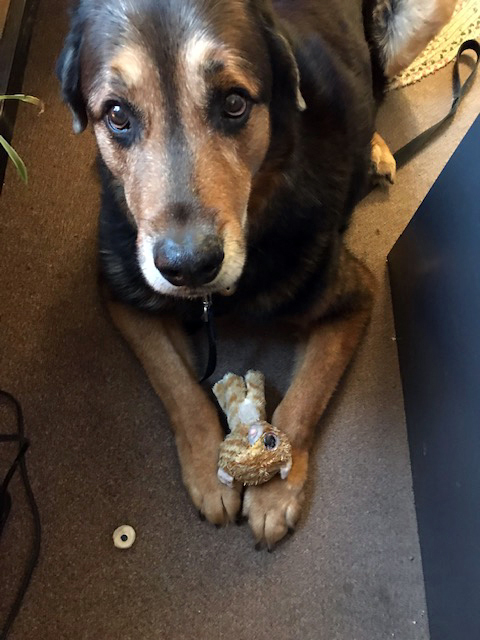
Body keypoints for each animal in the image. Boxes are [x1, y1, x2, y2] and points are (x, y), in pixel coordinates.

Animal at [58, 0, 456, 544]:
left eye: (234, 104)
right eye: (117, 115)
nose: (190, 268)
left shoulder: (353, 296)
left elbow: (303, 400)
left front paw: (273, 492)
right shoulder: (123, 297)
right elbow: (177, 386)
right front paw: (210, 470)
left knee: (378, 88)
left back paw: (374, 148)